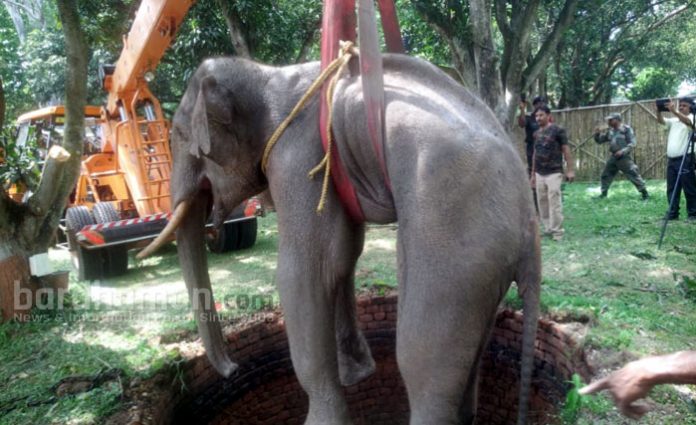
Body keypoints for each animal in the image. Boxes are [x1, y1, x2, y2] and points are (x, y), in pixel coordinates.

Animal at [142, 54, 541, 424]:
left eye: (179, 135)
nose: (232, 369)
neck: (268, 74)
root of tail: (530, 233)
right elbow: (340, 255)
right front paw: (358, 374)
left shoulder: (298, 158)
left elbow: (304, 271)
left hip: (460, 244)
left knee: (419, 351)